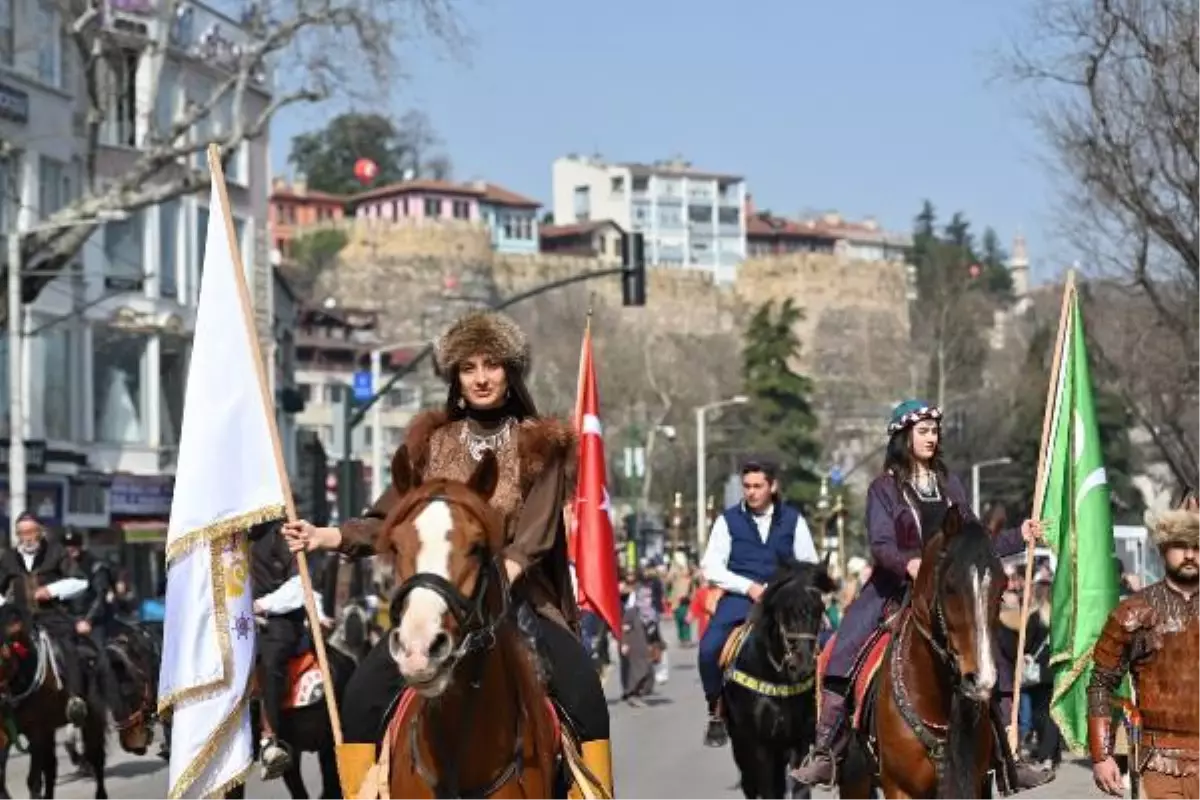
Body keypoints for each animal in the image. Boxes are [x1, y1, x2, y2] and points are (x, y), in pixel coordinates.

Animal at [720, 561, 835, 800]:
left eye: (820, 609)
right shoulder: (761, 746)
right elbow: (768, 791)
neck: (777, 678)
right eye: (785, 610)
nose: (803, 665)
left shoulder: (799, 742)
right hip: (741, 745)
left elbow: (799, 789)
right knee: (750, 785)